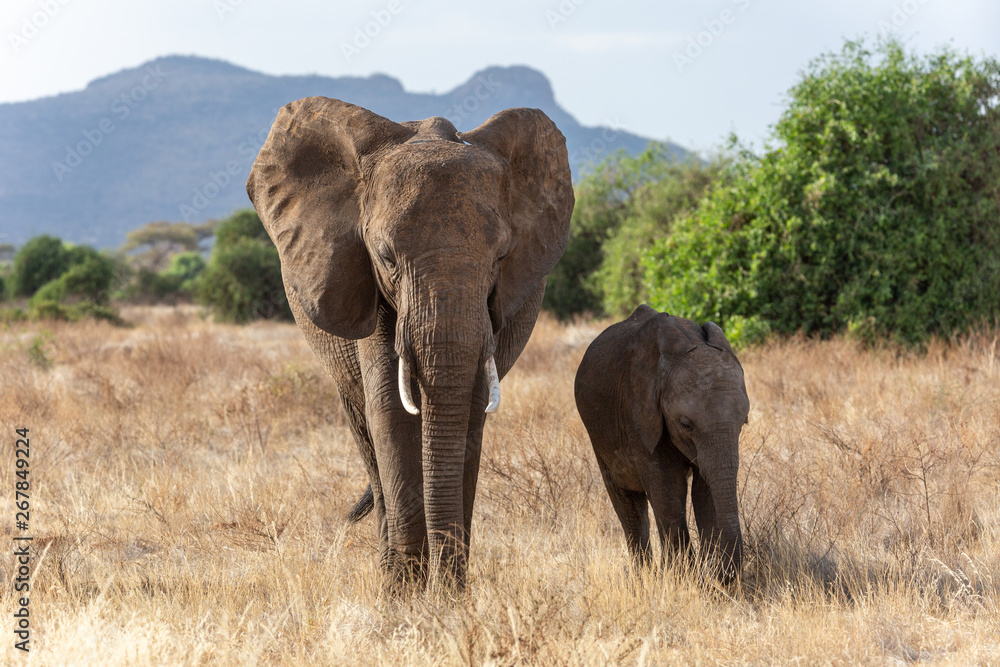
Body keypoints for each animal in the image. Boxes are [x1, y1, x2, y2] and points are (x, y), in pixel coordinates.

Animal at [246, 97, 573, 588]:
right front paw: (406, 596)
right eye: (385, 256)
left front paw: (449, 596)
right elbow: (390, 411)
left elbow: (470, 407)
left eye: (500, 257)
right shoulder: (366, 282)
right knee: (366, 432)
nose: (443, 584)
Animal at [574, 305, 749, 580]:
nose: (720, 569)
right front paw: (682, 579)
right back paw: (643, 578)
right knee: (627, 504)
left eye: (743, 422)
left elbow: (705, 488)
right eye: (686, 425)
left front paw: (708, 576)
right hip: (598, 435)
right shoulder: (639, 414)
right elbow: (668, 488)